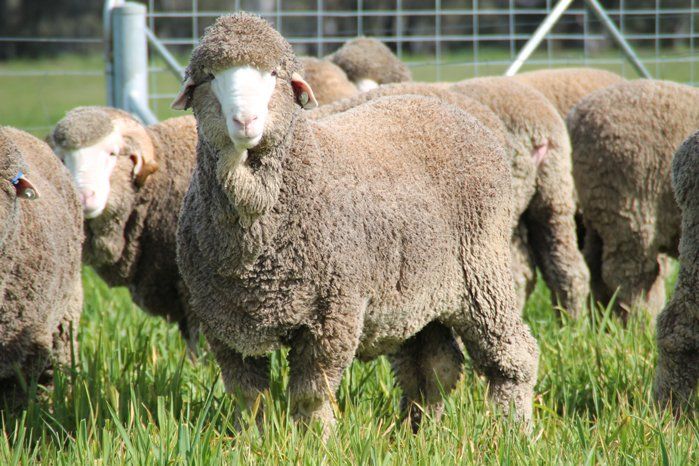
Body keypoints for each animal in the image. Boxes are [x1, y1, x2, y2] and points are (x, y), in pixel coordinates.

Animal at [172, 13, 539, 434]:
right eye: (210, 77)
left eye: (273, 74)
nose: (245, 120)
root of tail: (455, 111)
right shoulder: (224, 324)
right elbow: (249, 397)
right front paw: (252, 439)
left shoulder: (332, 314)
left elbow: (312, 396)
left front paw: (316, 440)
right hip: (417, 291)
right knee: (434, 364)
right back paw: (418, 429)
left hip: (483, 272)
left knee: (513, 356)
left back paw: (514, 430)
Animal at [568, 79, 699, 318]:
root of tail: (574, 118)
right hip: (628, 206)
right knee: (628, 274)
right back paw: (638, 320)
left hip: (598, 207)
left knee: (594, 267)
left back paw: (603, 319)